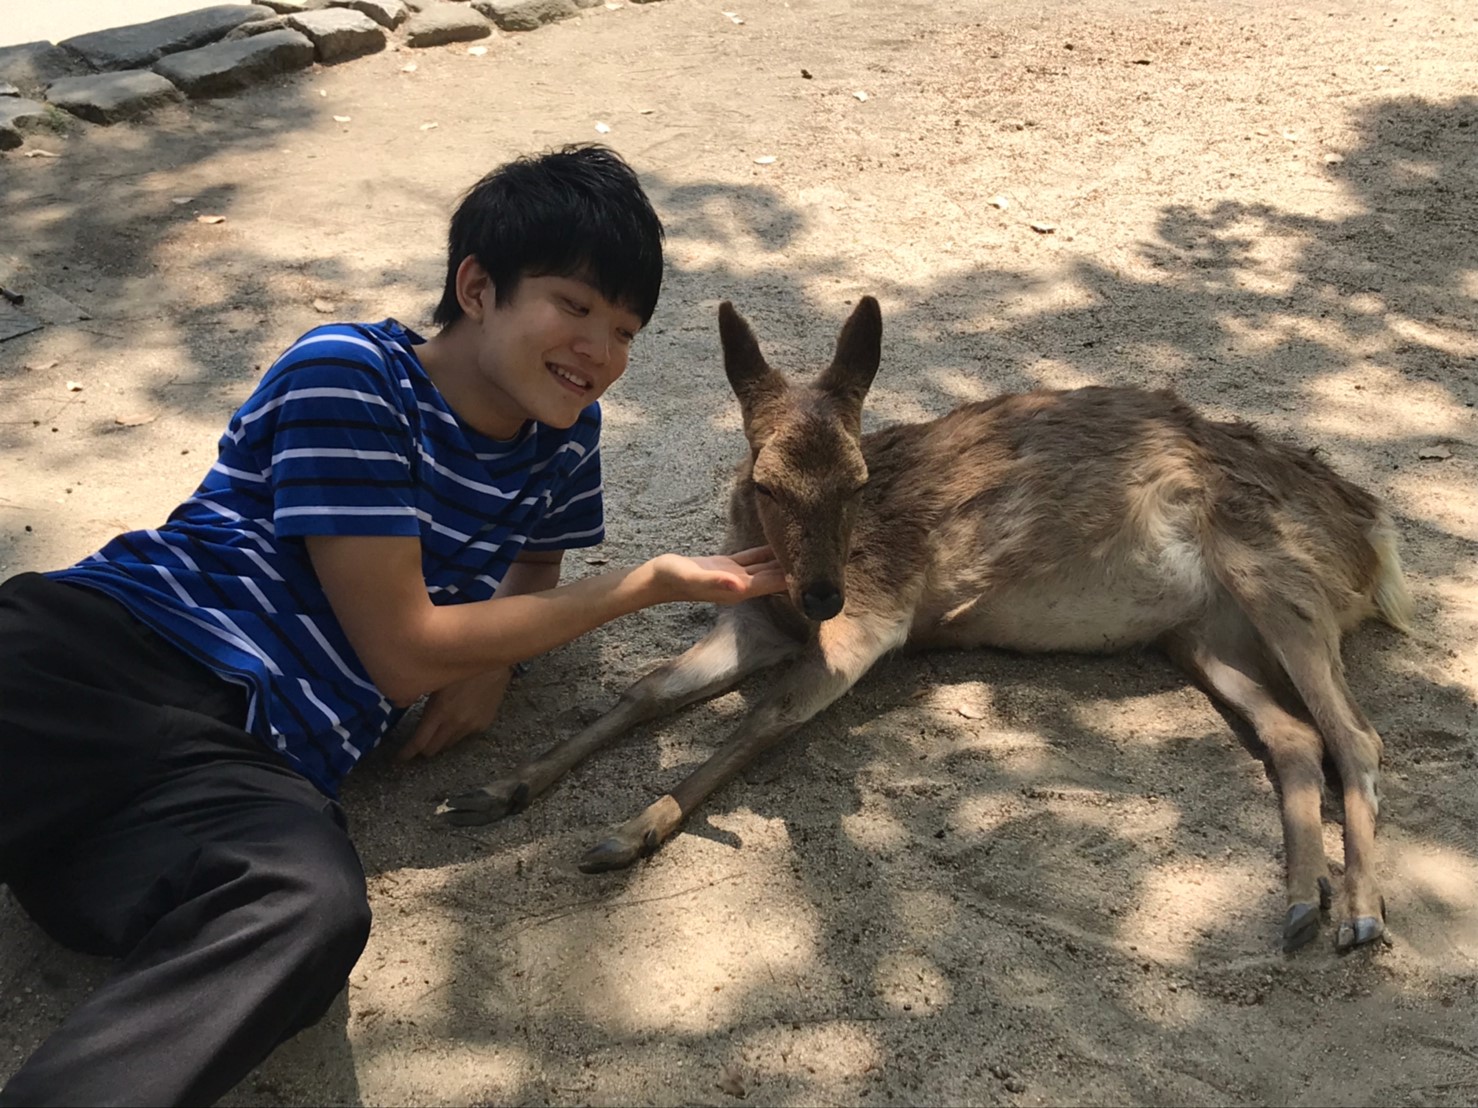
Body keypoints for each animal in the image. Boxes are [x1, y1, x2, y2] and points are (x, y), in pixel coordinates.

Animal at [439, 295, 1413, 953]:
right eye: (763, 482)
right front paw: (493, 791)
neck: (786, 585)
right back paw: (1300, 904)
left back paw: (1361, 914)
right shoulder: (755, 619)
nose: (821, 596)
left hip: (1275, 573)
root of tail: (1373, 537)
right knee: (1294, 736)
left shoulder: (875, 619)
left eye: (861, 479)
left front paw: (626, 835)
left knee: (1357, 735)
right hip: (1206, 634)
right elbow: (645, 692)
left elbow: (763, 717)